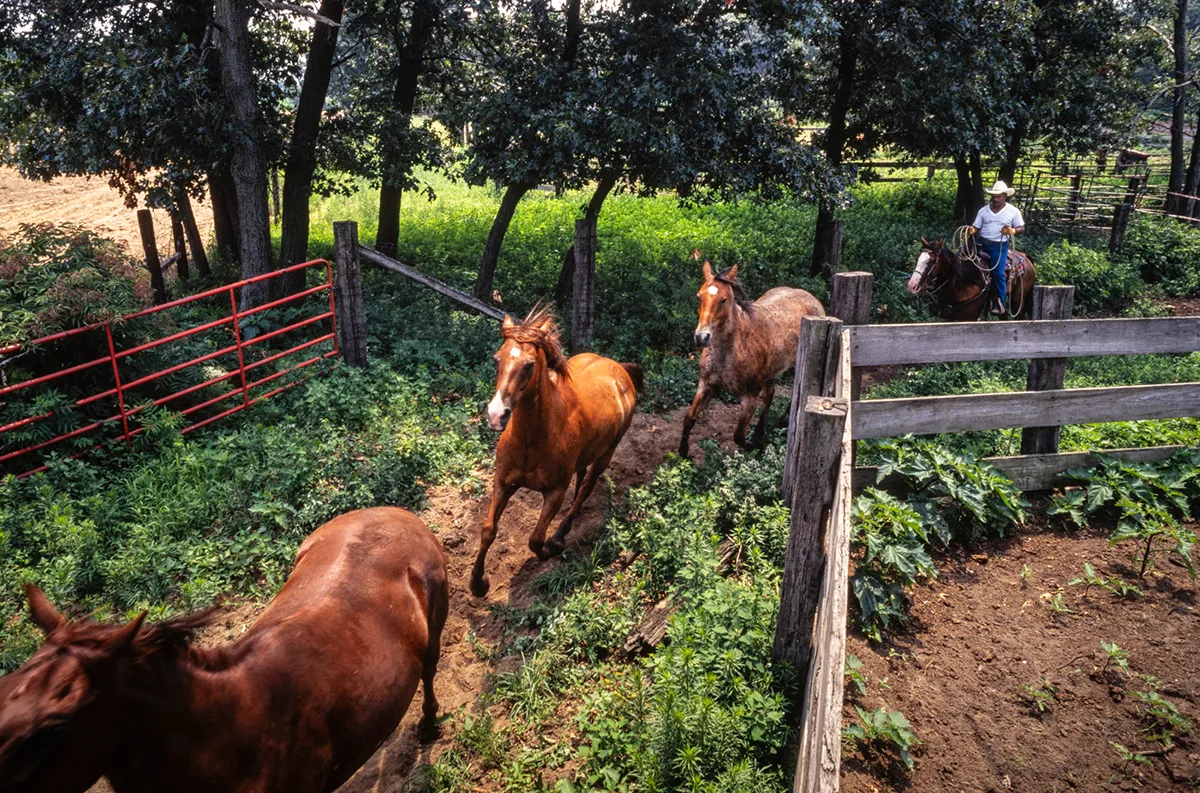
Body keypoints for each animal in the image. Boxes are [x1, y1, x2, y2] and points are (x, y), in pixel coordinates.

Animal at [472, 305, 643, 597]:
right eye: (496, 359)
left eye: (529, 365)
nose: (496, 415)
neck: (532, 440)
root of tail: (619, 368)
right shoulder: (503, 482)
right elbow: (488, 530)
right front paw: (478, 584)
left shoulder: (554, 492)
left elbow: (535, 539)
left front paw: (552, 547)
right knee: (582, 477)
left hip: (608, 451)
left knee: (587, 486)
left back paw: (563, 531)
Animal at [681, 261, 830, 458]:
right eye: (699, 297)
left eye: (724, 300)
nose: (701, 337)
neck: (729, 352)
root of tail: (812, 298)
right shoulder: (706, 385)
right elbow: (689, 418)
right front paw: (684, 452)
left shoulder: (750, 397)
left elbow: (738, 435)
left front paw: (755, 446)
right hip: (771, 372)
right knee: (769, 396)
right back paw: (760, 431)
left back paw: (781, 421)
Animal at [902, 236, 1036, 319]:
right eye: (917, 258)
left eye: (931, 261)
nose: (912, 285)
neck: (961, 283)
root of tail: (1024, 256)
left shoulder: (970, 315)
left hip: (1017, 299)